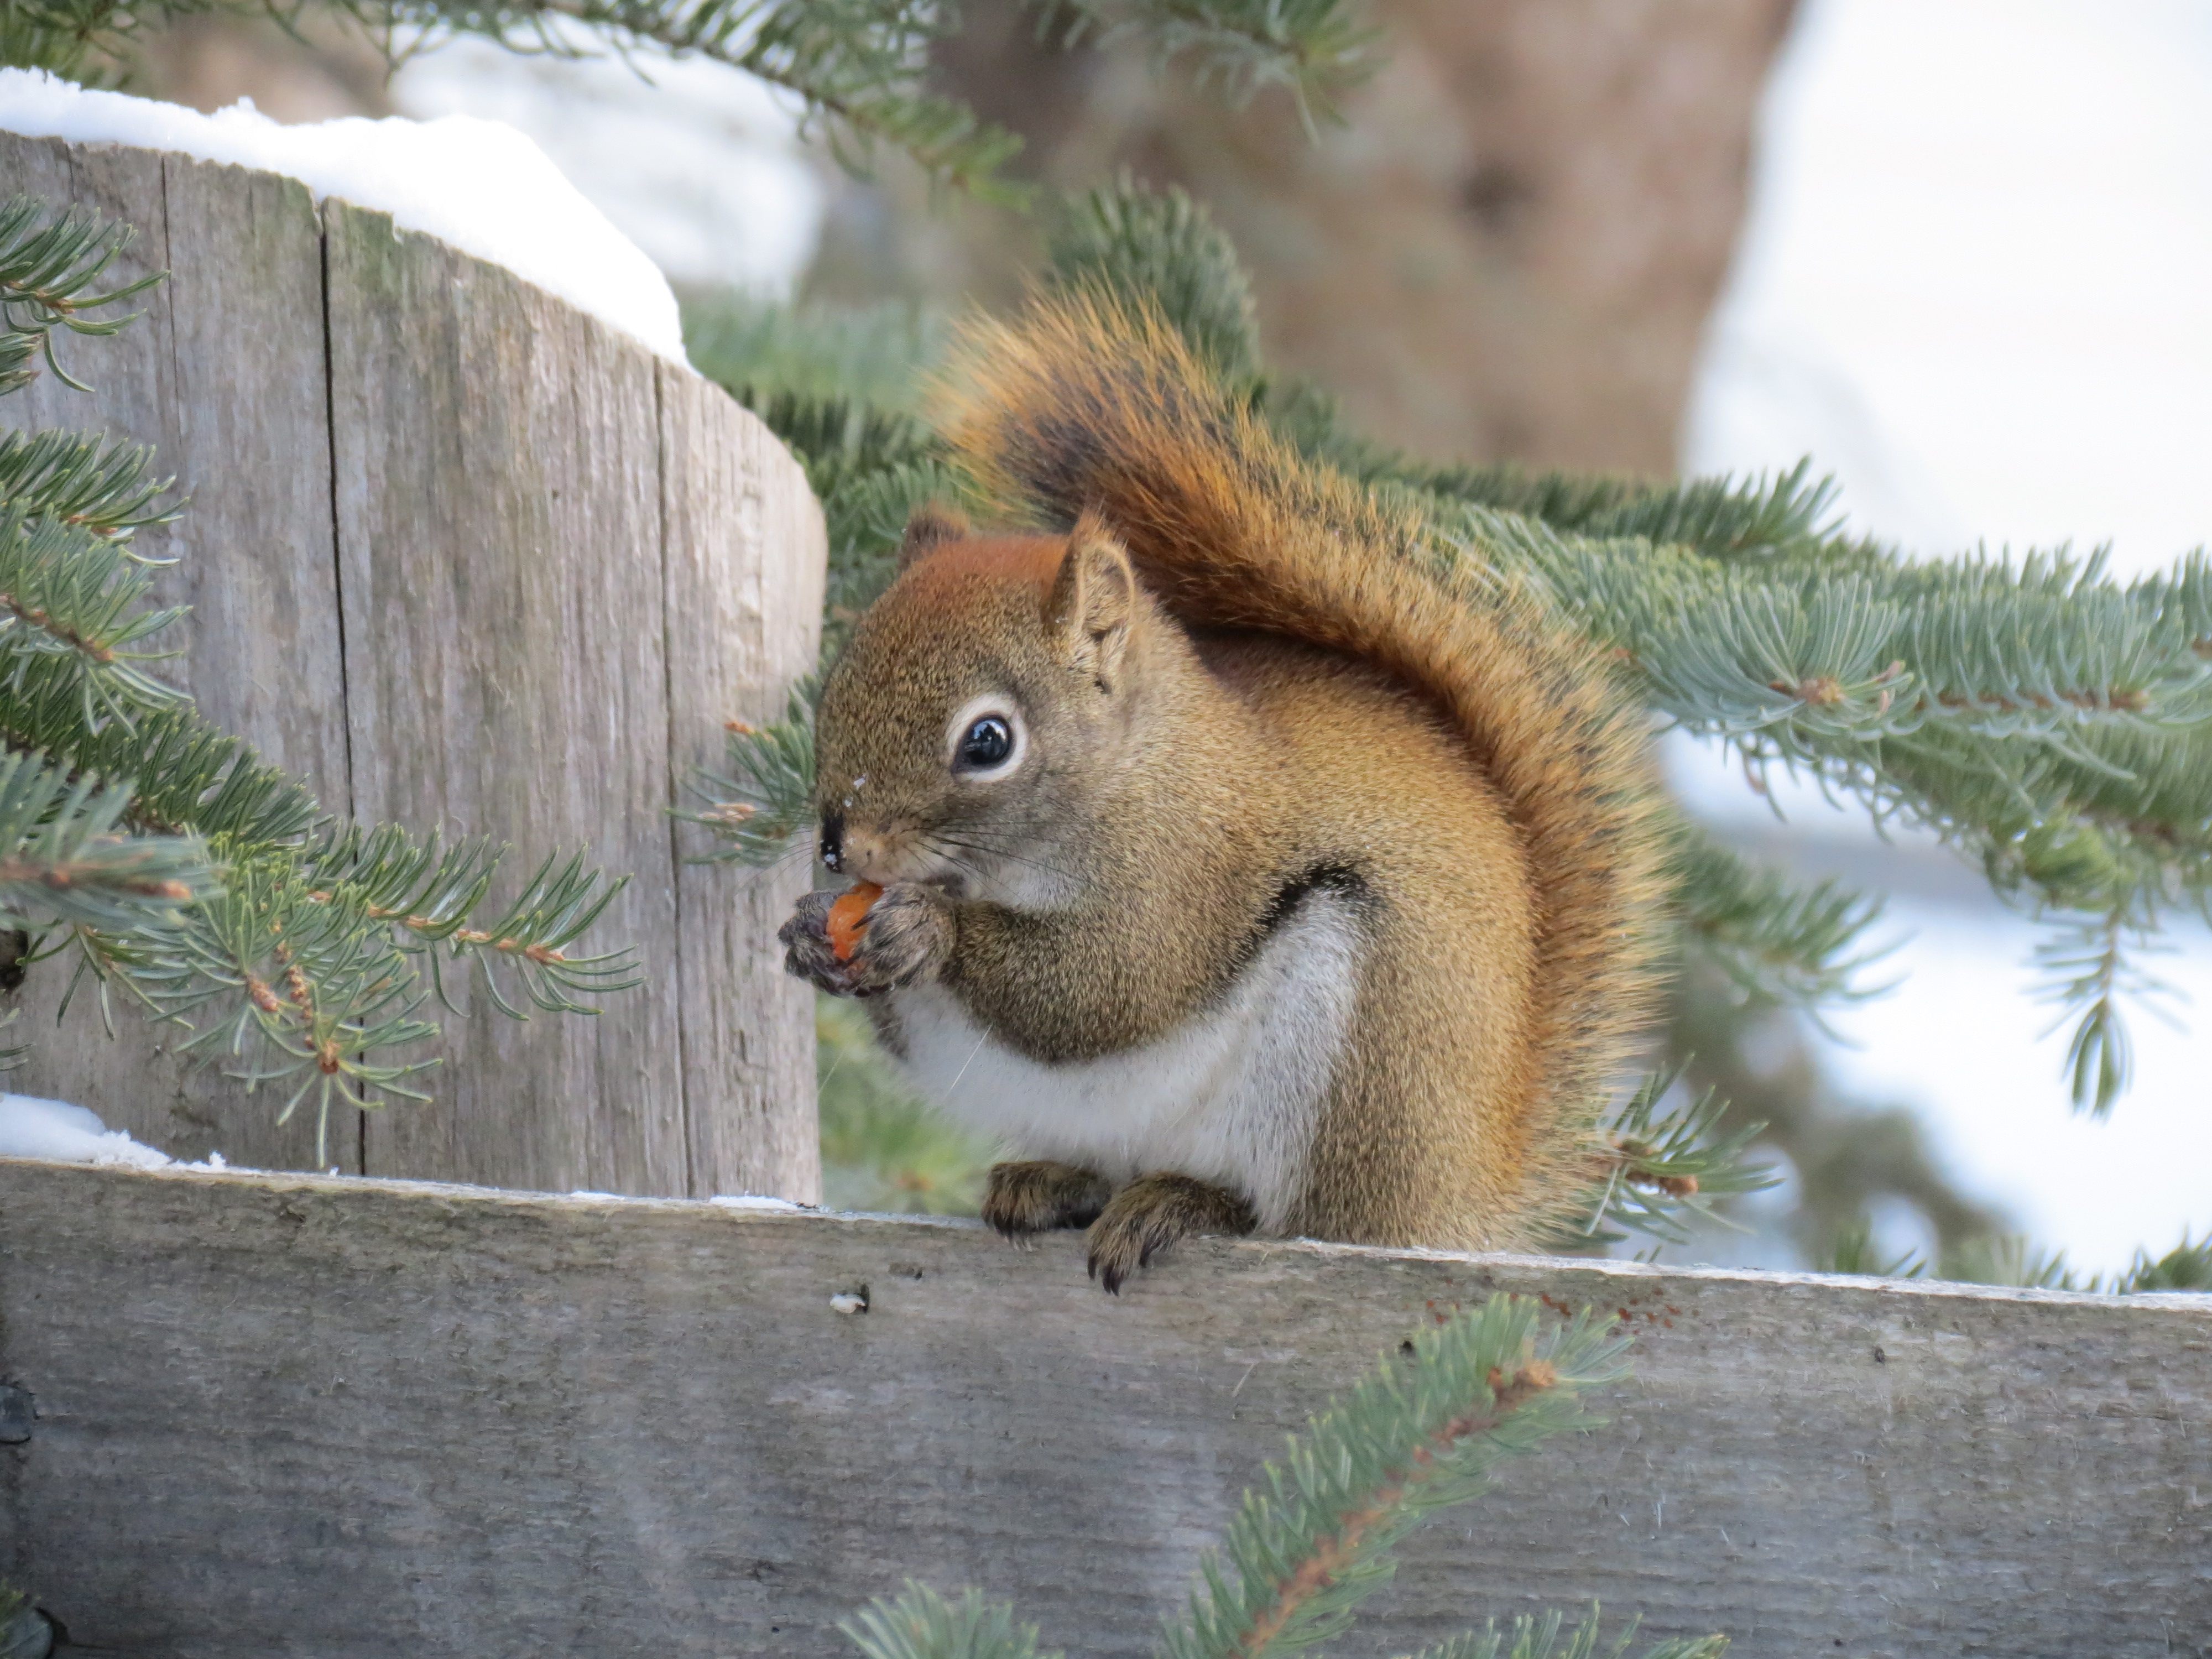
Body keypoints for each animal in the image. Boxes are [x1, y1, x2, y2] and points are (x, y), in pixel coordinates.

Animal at [778, 295, 1668, 1291]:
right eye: (836, 684)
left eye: (988, 741)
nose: (841, 846)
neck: (1132, 774)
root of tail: (1464, 1189)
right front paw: (811, 934)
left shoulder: (1190, 867)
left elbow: (1112, 985)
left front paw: (928, 931)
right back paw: (1054, 1183)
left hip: (1360, 1051)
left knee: (1295, 1218)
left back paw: (1186, 1204)